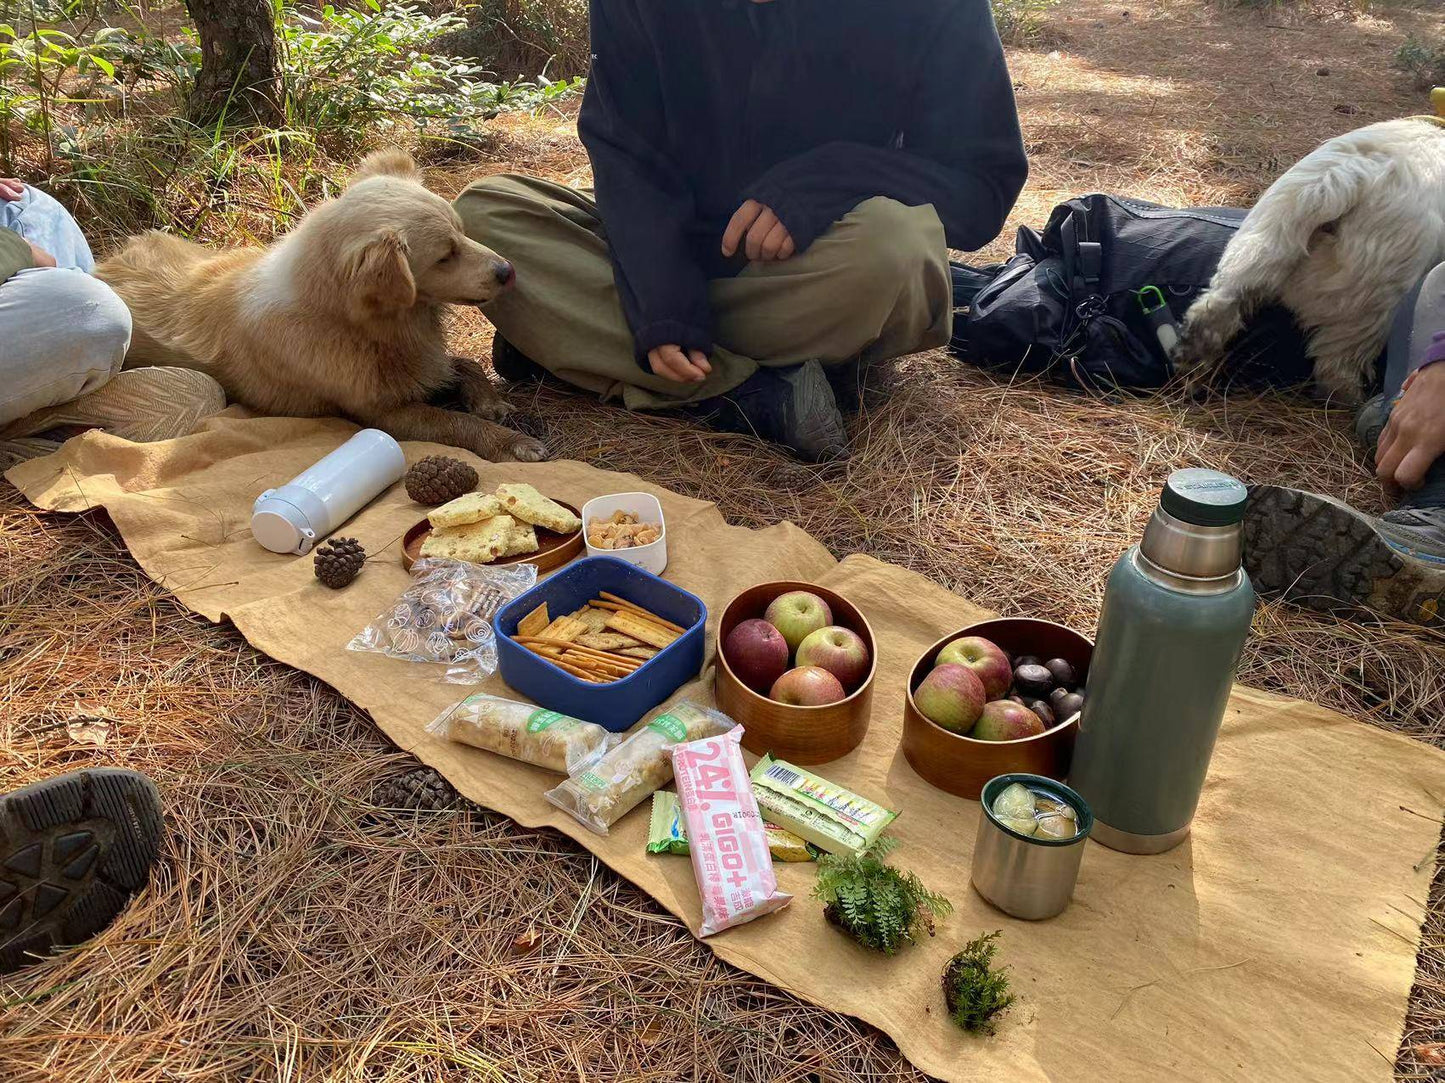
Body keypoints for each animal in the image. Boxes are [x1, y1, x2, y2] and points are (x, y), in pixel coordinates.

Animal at [96, 148, 546, 459]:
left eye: (463, 233)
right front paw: (508, 441)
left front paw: (488, 400)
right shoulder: (385, 413)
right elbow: (453, 422)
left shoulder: (420, 362)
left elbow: (465, 364)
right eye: (445, 255)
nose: (509, 271)